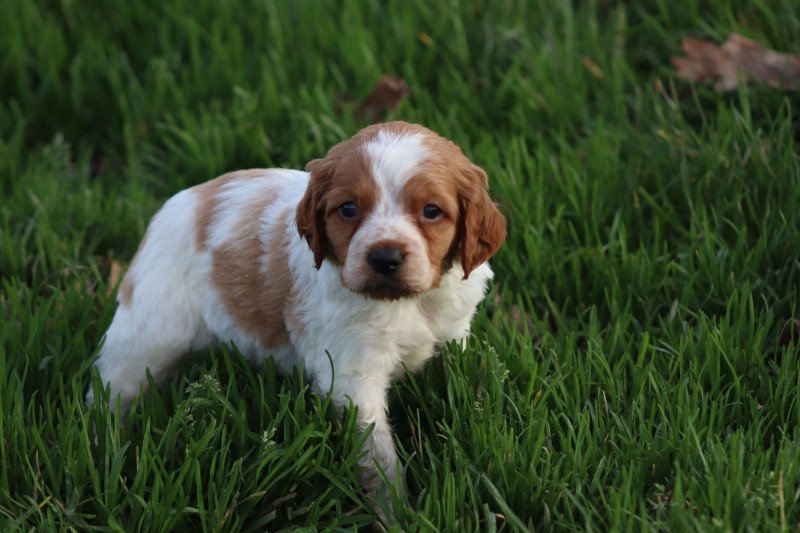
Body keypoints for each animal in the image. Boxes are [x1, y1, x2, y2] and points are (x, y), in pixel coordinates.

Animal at [87, 119, 506, 490]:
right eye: (348, 209)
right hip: (147, 335)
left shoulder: (453, 334)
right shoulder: (352, 376)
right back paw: (102, 443)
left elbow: (461, 378)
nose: (385, 258)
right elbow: (379, 456)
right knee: (111, 388)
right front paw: (396, 509)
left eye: (431, 211)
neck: (411, 302)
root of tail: (166, 212)